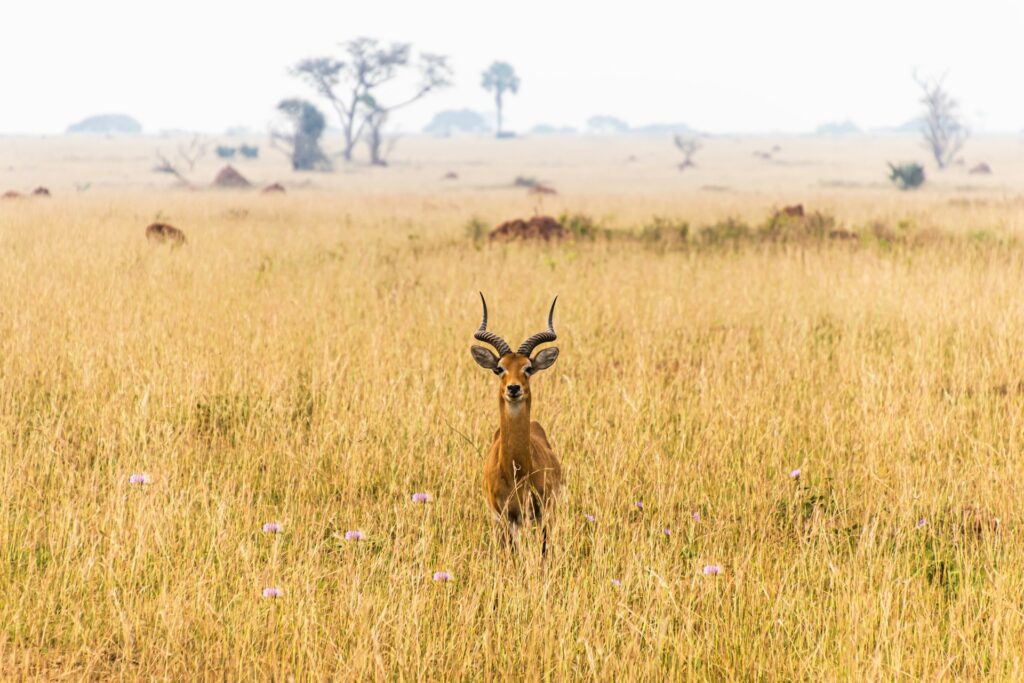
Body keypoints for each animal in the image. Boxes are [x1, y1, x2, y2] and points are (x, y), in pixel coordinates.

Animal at [468, 290, 565, 552]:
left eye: (528, 368)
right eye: (499, 368)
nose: (513, 388)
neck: (516, 472)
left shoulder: (543, 514)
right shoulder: (503, 517)